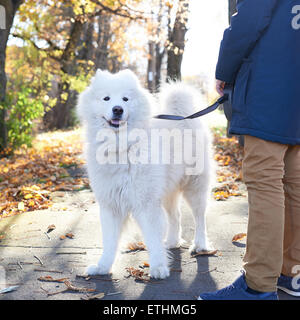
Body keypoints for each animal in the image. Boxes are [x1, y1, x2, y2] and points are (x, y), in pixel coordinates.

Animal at [77, 69, 213, 278]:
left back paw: (200, 245)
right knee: (175, 216)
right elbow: (109, 241)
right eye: (106, 98)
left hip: (194, 187)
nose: (118, 109)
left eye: (125, 99)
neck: (121, 146)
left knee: (199, 218)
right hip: (167, 191)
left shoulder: (146, 204)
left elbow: (152, 238)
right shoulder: (110, 205)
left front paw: (158, 267)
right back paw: (172, 242)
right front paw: (103, 267)